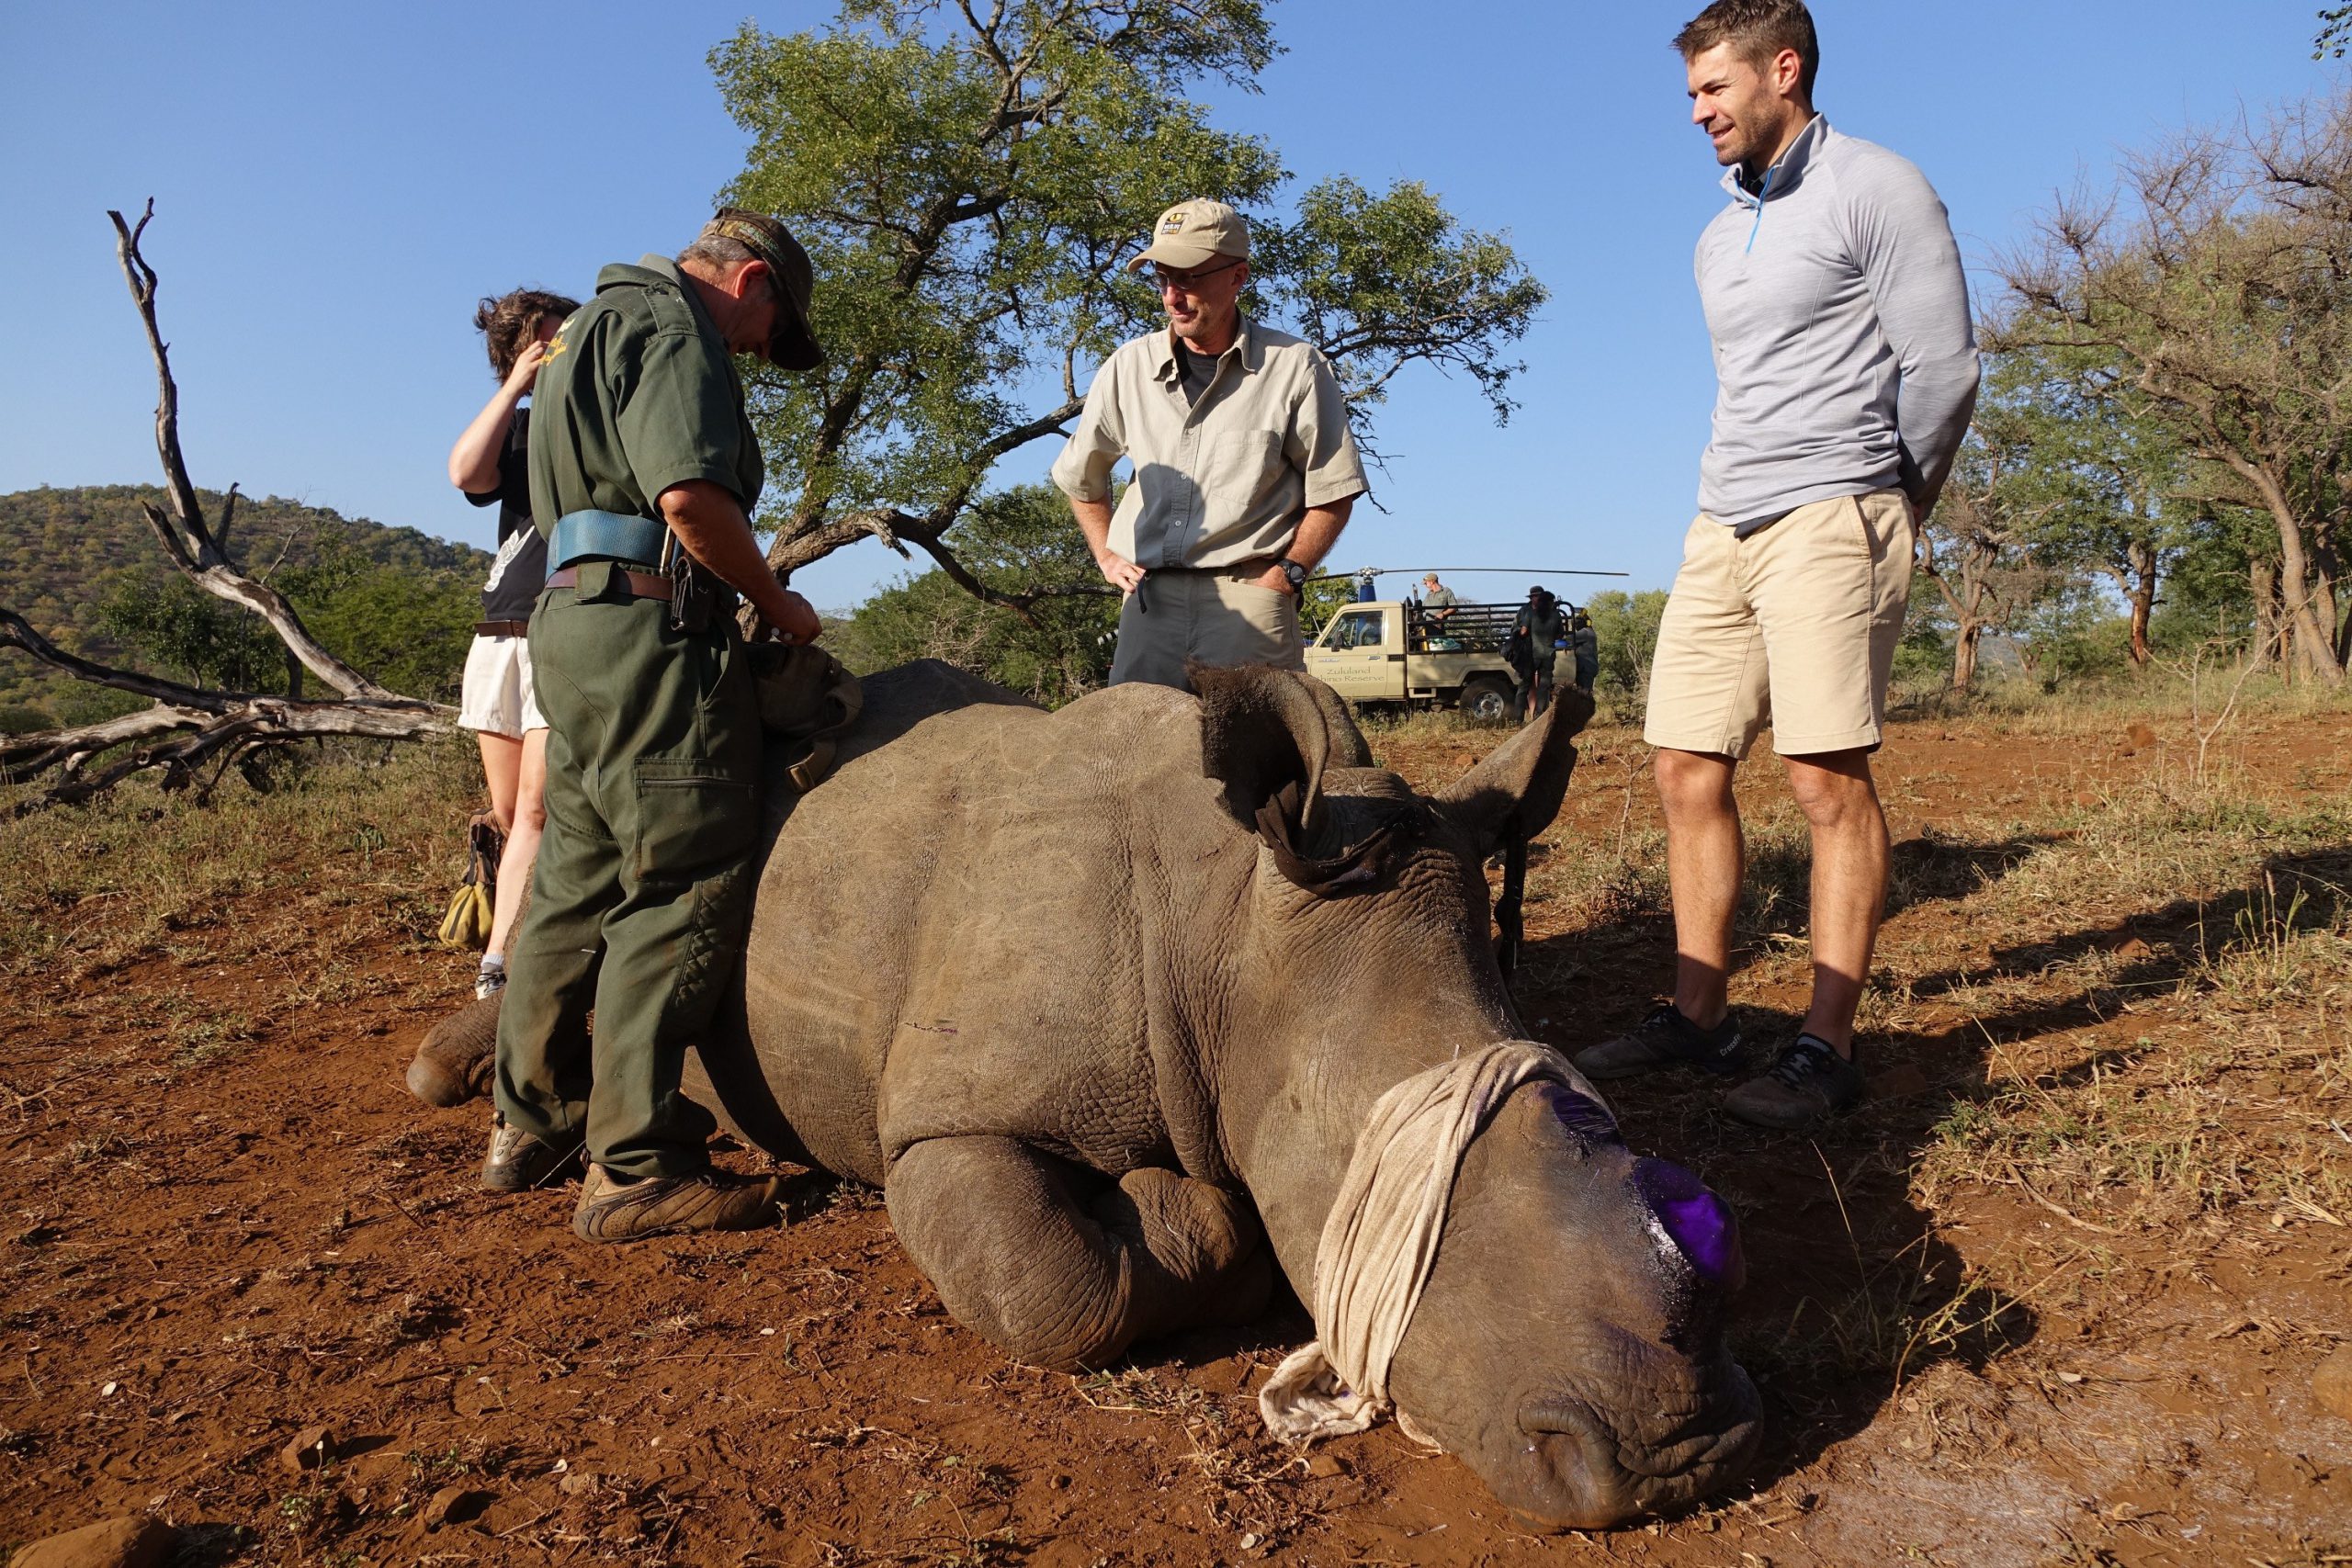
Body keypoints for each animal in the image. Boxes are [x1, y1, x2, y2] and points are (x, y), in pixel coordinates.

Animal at [413, 667, 1769, 1532]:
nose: (1676, 1460)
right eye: (1374, 1187)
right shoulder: (944, 1119)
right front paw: (1191, 1218)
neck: (1228, 934)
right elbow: (1051, 1286)